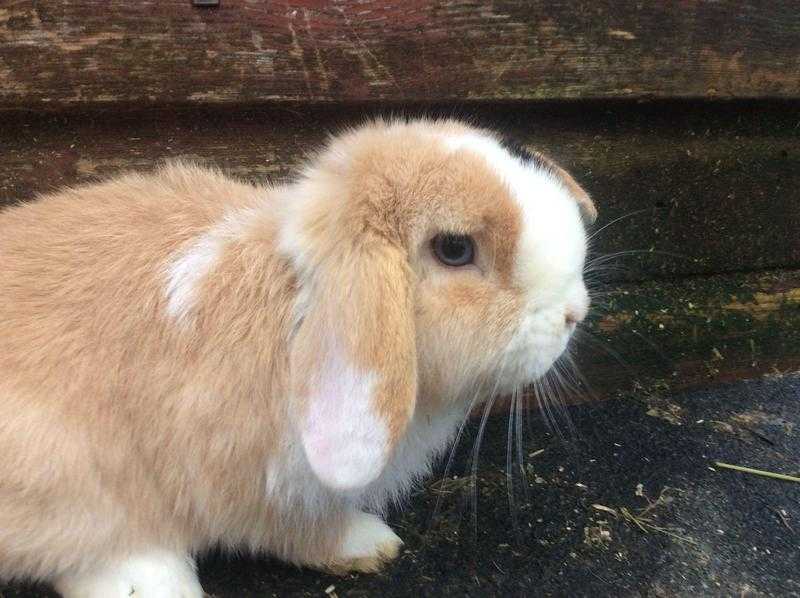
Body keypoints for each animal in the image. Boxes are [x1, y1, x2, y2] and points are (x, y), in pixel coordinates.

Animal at [0, 118, 592, 598]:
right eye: (454, 249)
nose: (574, 311)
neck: (298, 309)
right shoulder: (258, 479)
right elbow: (294, 529)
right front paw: (370, 542)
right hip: (58, 466)